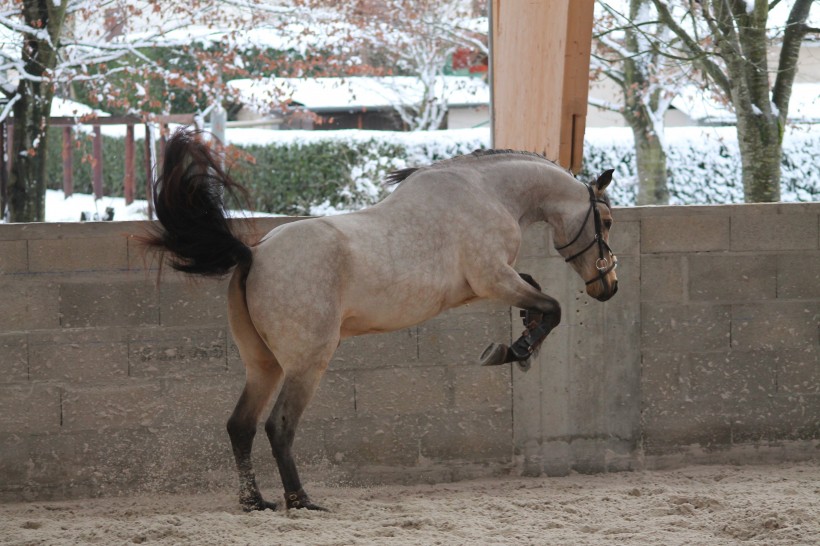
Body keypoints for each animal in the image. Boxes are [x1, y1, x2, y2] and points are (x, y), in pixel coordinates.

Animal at [143, 127, 616, 510]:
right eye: (607, 220)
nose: (608, 286)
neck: (486, 191)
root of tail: (252, 255)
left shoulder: (495, 281)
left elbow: (538, 294)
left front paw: (523, 335)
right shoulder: (492, 279)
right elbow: (552, 306)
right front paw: (512, 350)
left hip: (264, 364)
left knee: (240, 426)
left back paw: (254, 502)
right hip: (307, 363)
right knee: (279, 425)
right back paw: (301, 500)